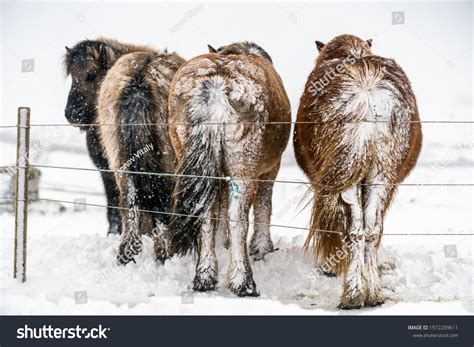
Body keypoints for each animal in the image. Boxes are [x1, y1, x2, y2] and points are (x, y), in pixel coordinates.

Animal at [62, 38, 156, 237]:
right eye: (72, 76)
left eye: (91, 74)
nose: (72, 114)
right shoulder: (105, 171)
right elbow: (112, 203)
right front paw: (113, 232)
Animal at [167, 40, 292, 296]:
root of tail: (216, 88)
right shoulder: (269, 169)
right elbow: (264, 204)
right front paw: (262, 247)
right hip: (244, 168)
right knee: (238, 216)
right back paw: (243, 281)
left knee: (204, 212)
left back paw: (205, 276)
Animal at [294, 34, 424, 308]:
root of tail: (366, 97)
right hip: (379, 176)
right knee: (368, 229)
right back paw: (368, 292)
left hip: (353, 180)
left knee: (354, 229)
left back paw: (355, 293)